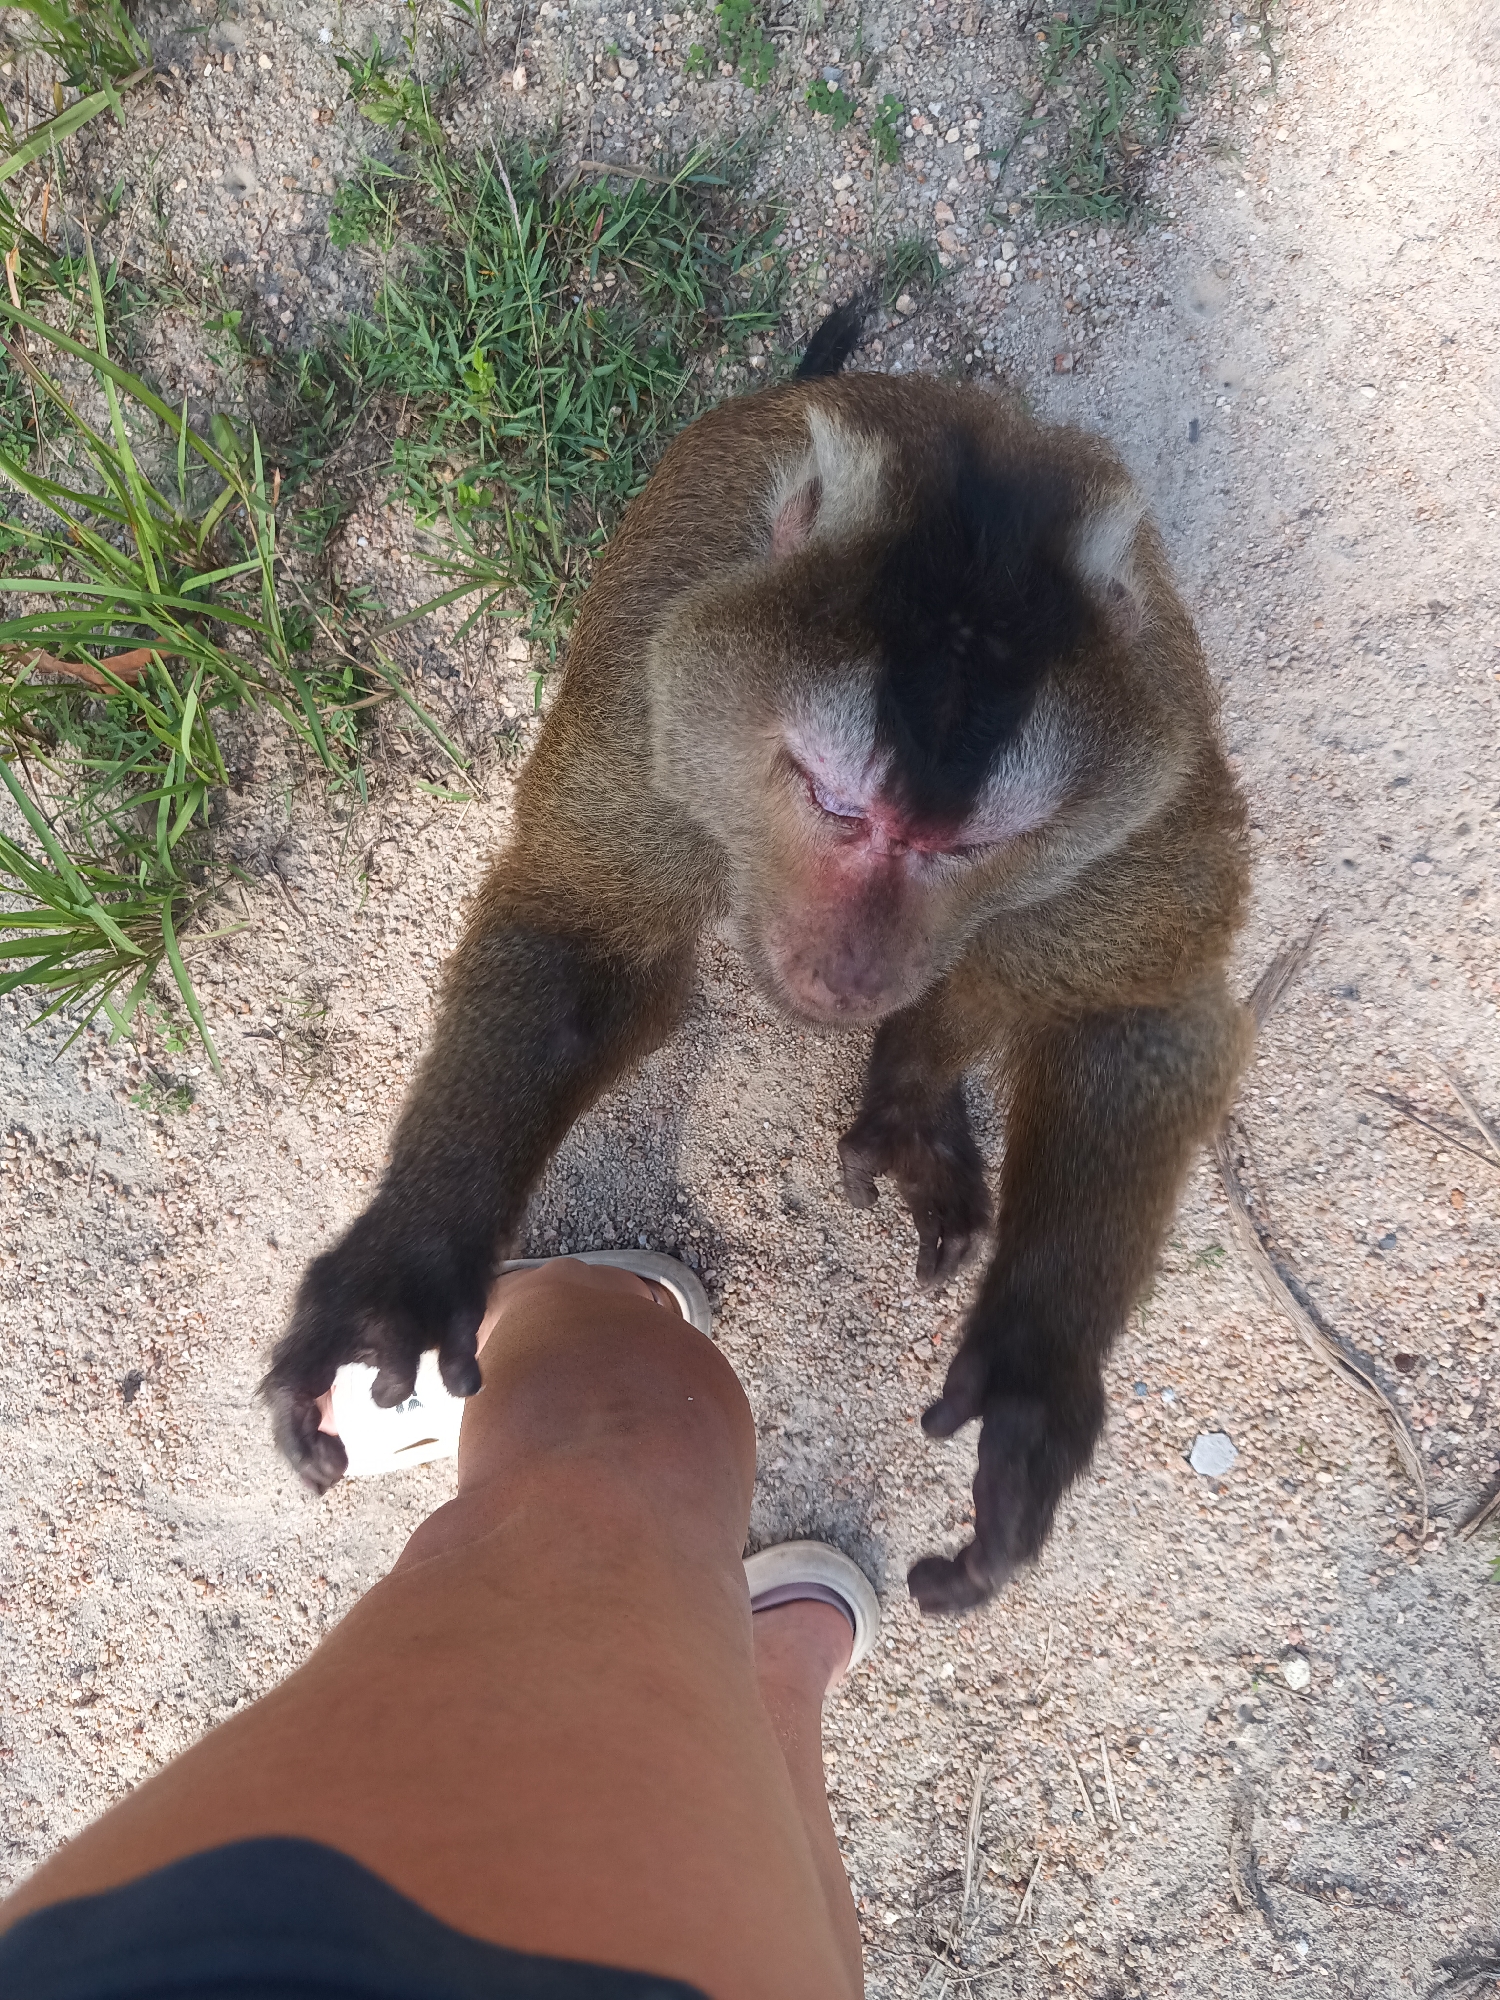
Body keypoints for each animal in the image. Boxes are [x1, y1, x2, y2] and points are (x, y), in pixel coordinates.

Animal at [262, 305, 1252, 1615]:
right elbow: (588, 940)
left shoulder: (1138, 791)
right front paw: (419, 1246)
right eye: (835, 805)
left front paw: (1035, 1365)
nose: (851, 967)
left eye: (963, 845)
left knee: (1015, 956)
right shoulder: (654, 691)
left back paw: (914, 1089)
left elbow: (1136, 1008)